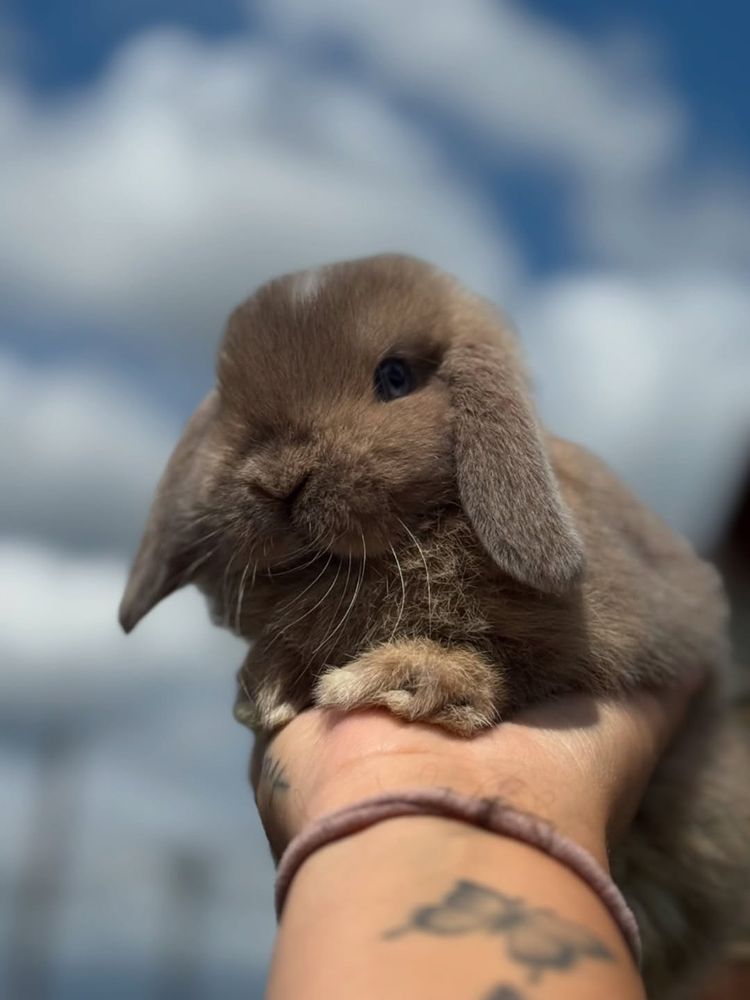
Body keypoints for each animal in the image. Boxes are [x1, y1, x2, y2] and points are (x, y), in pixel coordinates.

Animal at [120, 253, 750, 997]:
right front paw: (267, 685)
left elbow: (508, 666)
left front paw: (403, 679)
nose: (277, 481)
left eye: (395, 377)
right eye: (230, 402)